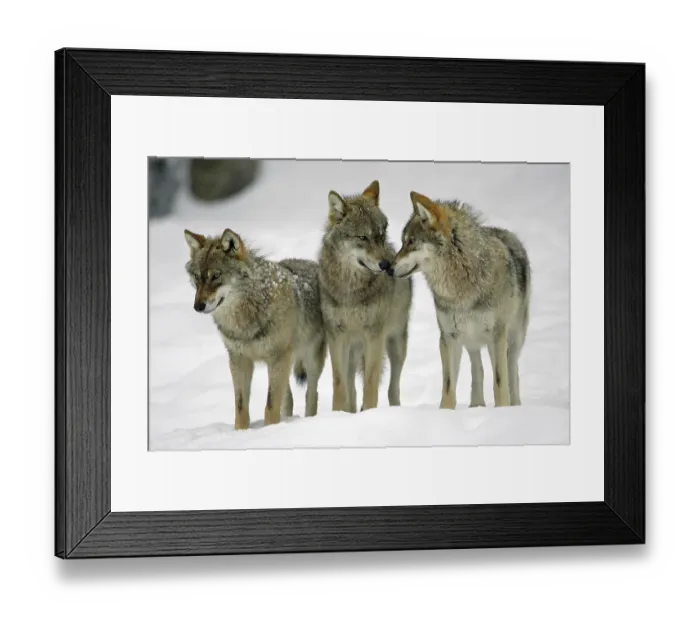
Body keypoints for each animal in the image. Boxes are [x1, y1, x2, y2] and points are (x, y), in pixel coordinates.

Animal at [184, 229, 326, 430]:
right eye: (197, 277)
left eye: (216, 276)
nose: (198, 306)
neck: (243, 323)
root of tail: (313, 264)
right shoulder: (239, 359)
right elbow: (241, 407)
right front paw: (241, 432)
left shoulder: (277, 357)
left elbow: (270, 405)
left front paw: (270, 430)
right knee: (288, 398)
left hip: (310, 360)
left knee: (311, 395)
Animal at [318, 180, 413, 413]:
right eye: (363, 237)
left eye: (380, 235)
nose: (387, 265)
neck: (351, 289)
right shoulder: (336, 336)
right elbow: (339, 383)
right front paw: (338, 413)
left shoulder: (374, 335)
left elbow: (371, 381)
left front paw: (369, 412)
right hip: (353, 349)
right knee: (351, 386)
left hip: (396, 343)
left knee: (393, 387)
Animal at [387, 191, 531, 408]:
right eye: (403, 242)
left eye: (411, 242)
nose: (387, 268)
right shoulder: (449, 336)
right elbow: (448, 386)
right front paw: (445, 412)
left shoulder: (497, 334)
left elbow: (500, 381)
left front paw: (502, 410)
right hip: (471, 339)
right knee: (478, 368)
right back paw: (476, 405)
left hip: (512, 339)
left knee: (512, 370)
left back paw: (515, 406)